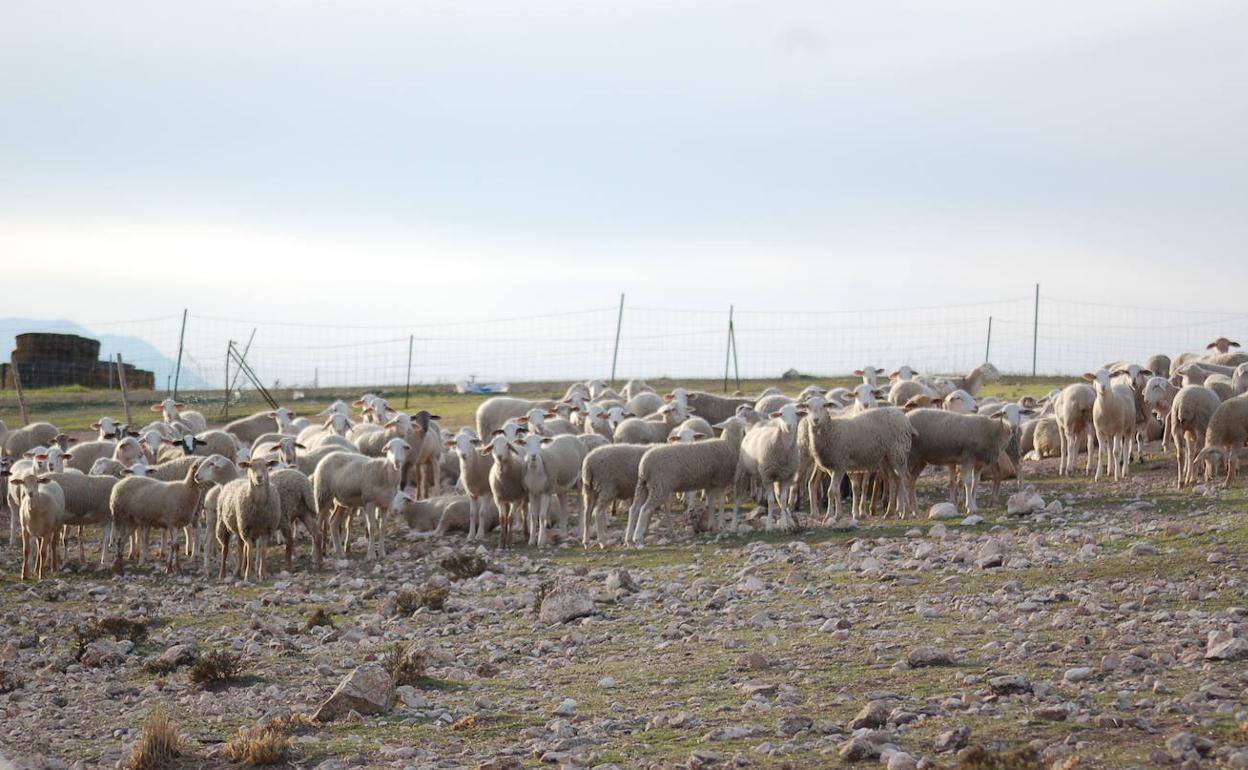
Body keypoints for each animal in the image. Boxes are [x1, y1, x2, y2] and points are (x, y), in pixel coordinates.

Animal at [628, 414, 743, 546]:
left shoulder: (710, 484)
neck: (729, 444)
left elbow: (711, 503)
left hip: (643, 485)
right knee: (645, 509)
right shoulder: (721, 480)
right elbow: (721, 503)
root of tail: (644, 463)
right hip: (659, 486)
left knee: (634, 508)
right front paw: (722, 525)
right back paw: (637, 537)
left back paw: (628, 537)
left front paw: (711, 525)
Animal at [733, 401, 803, 529]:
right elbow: (770, 501)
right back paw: (733, 525)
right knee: (738, 496)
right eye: (781, 414)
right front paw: (769, 526)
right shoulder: (767, 476)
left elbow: (783, 499)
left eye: (796, 414)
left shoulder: (787, 477)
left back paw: (790, 520)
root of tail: (755, 426)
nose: (788, 426)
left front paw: (784, 524)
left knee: (779, 497)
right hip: (743, 470)